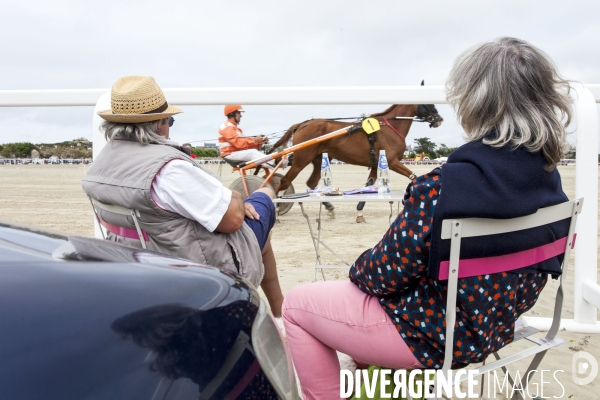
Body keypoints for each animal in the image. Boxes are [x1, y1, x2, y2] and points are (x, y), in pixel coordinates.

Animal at [270, 103, 442, 200]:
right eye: (429, 103)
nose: (439, 119)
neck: (390, 127)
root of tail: (303, 124)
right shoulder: (392, 162)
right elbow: (414, 176)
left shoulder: (376, 164)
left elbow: (369, 184)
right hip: (301, 159)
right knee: (285, 181)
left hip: (320, 158)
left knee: (311, 182)